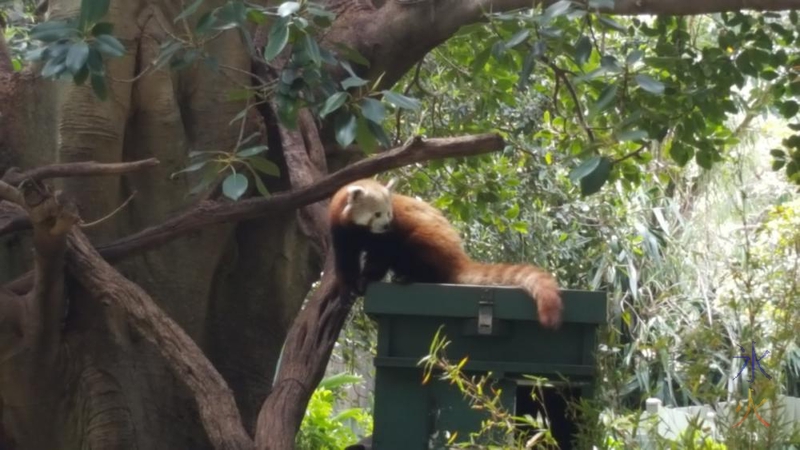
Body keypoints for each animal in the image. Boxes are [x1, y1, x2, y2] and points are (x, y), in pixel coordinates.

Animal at [324, 178, 564, 328]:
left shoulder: (387, 237)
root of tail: (459, 257)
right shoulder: (342, 232)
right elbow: (345, 261)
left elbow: (380, 257)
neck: (362, 232)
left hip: (428, 241)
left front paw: (366, 279)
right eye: (376, 214)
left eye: (389, 213)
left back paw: (409, 277)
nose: (386, 225)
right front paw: (347, 290)